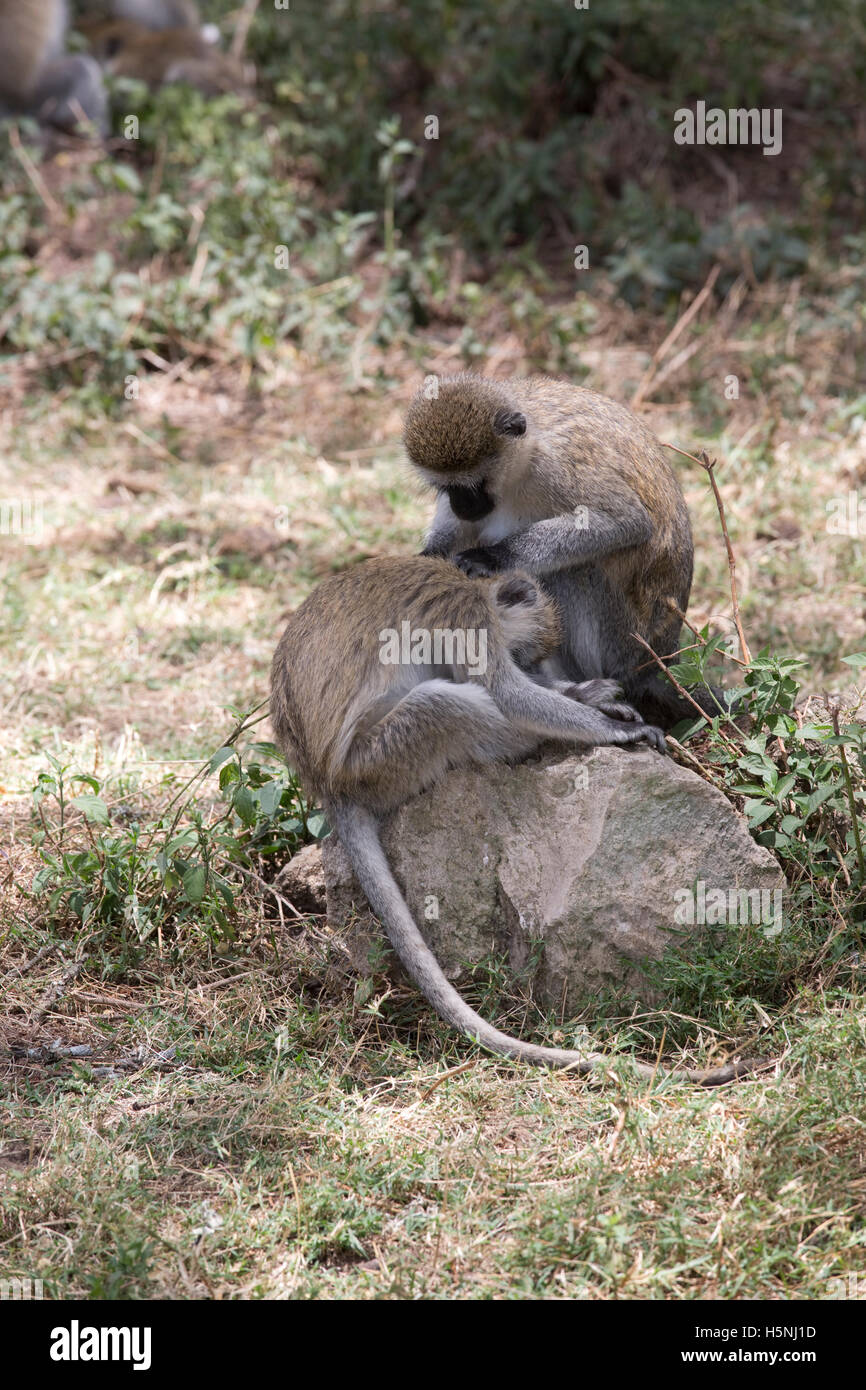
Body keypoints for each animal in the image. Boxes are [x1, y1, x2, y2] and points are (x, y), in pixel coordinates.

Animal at [273, 556, 761, 1084]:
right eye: (524, 654)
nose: (539, 668)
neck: (477, 589)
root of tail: (328, 785)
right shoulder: (468, 620)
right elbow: (507, 693)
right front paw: (611, 725)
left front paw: (588, 694)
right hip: (382, 758)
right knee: (448, 703)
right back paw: (533, 741)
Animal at [405, 375, 722, 733]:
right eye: (446, 488)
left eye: (475, 484)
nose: (463, 506)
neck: (525, 455)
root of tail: (661, 659)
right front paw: (430, 556)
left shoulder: (558, 466)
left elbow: (627, 522)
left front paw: (492, 557)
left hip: (621, 644)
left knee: (572, 570)